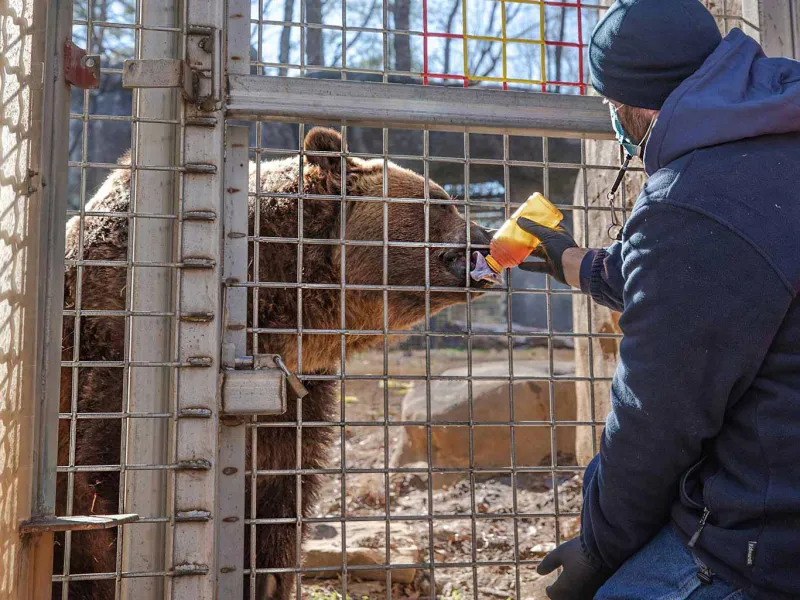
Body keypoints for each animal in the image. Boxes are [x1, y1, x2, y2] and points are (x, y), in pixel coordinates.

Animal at [56, 125, 494, 596]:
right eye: (440, 200)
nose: (486, 233)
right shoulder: (110, 352)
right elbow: (106, 491)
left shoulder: (299, 396)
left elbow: (279, 503)